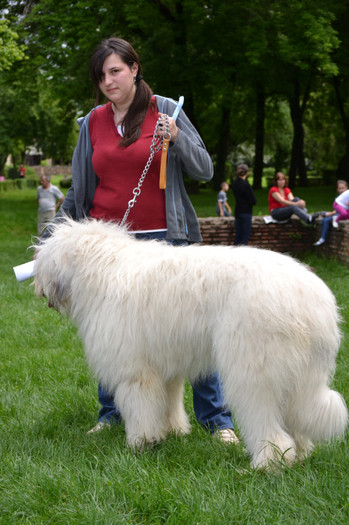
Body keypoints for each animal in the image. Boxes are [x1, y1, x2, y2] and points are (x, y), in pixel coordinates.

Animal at [32, 217, 346, 466]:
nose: (37, 289)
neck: (101, 268)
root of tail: (315, 300)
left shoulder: (134, 371)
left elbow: (139, 407)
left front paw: (139, 444)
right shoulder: (166, 364)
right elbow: (168, 403)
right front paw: (171, 433)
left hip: (255, 371)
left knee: (268, 425)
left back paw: (266, 465)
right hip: (295, 375)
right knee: (297, 421)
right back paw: (300, 456)